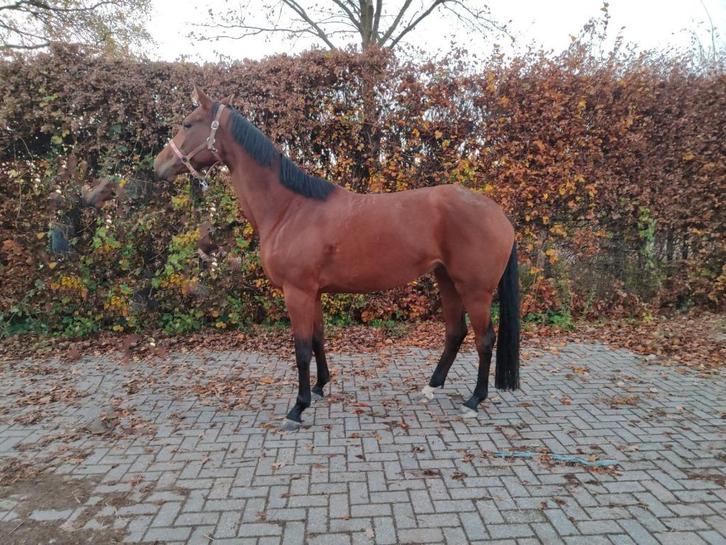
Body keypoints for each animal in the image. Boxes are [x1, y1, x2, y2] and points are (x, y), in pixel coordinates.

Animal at [154, 86, 520, 430]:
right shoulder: (312, 292)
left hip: (474, 289)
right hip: (446, 279)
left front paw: (298, 407)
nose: (158, 165)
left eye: (188, 124)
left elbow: (301, 348)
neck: (290, 208)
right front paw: (319, 387)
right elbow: (318, 338)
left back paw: (474, 400)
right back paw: (432, 387)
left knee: (484, 339)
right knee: (455, 332)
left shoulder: (297, 292)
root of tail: (498, 213)